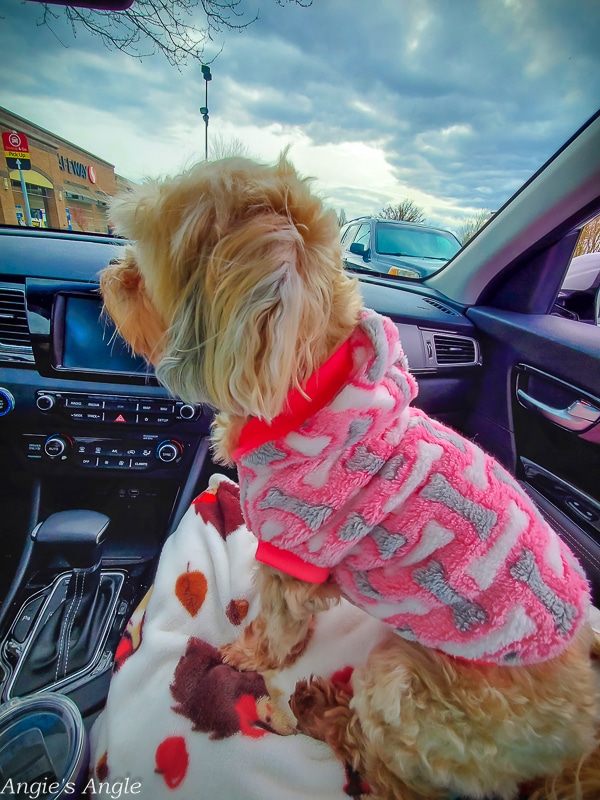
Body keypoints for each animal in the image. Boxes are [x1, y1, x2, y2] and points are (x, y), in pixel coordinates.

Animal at [101, 156, 596, 800]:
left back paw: (320, 714)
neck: (305, 394)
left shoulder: (293, 558)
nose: (111, 273)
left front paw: (245, 656)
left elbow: (275, 627)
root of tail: (578, 742)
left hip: (410, 690)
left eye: (145, 259)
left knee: (390, 773)